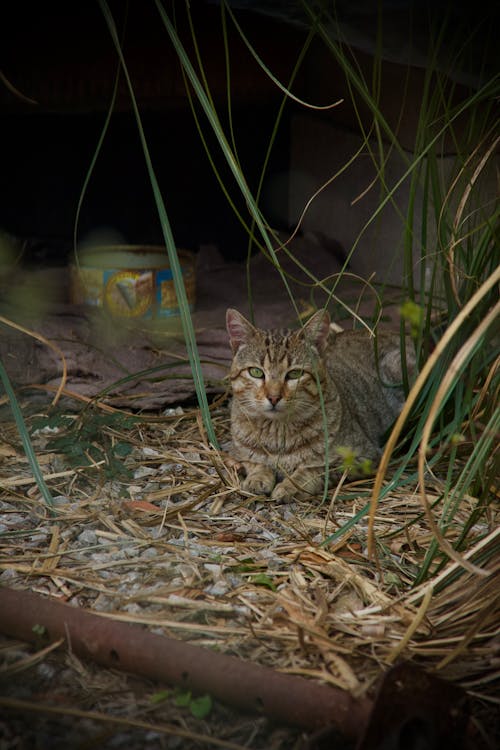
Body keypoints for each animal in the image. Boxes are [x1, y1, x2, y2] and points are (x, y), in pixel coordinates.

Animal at [227, 308, 414, 502]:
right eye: (256, 372)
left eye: (295, 374)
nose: (273, 397)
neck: (277, 434)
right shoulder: (236, 453)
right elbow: (255, 462)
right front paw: (257, 477)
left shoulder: (364, 457)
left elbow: (315, 469)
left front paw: (291, 486)